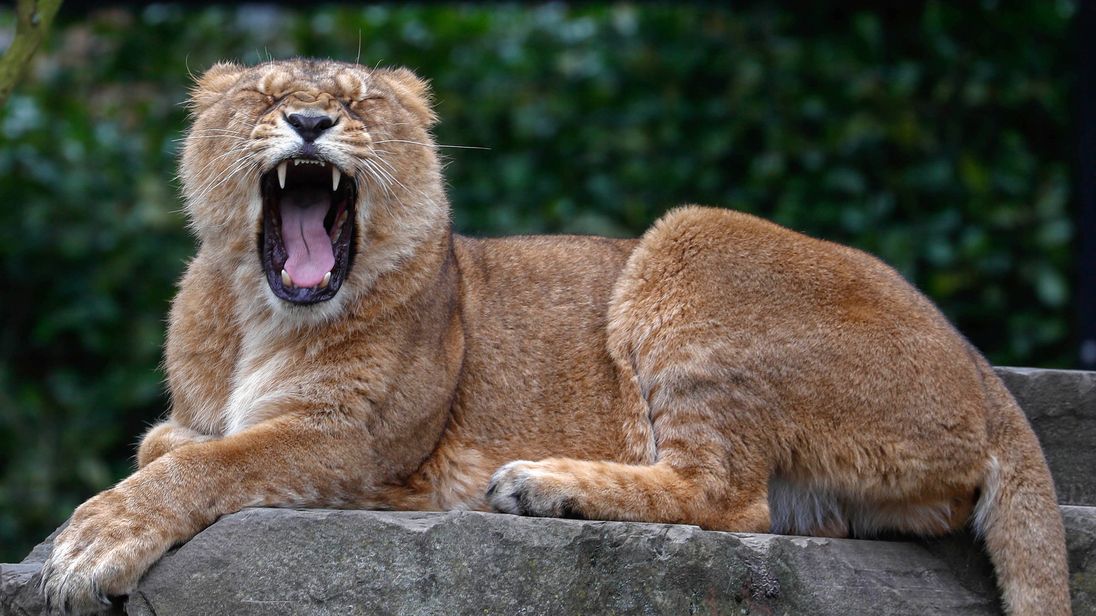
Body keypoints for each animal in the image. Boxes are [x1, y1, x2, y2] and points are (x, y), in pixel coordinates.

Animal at [39, 59, 1070, 615]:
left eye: (362, 103)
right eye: (262, 96)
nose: (309, 120)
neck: (259, 313)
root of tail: (987, 376)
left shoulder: (356, 446)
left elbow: (208, 464)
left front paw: (90, 544)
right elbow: (172, 441)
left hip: (689, 243)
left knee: (728, 499)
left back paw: (540, 485)